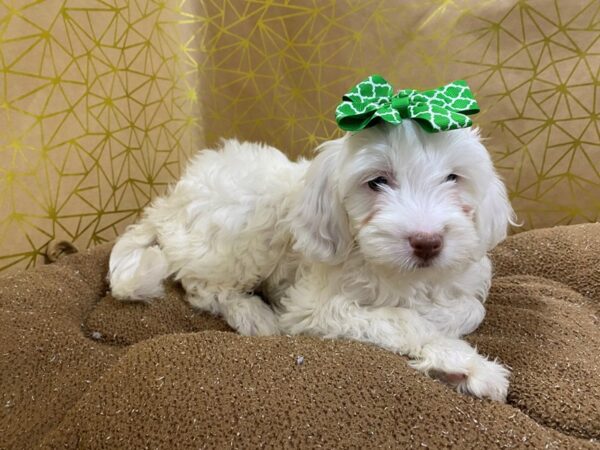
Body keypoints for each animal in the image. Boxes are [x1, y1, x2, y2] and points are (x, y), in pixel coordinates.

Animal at [111, 120, 516, 400]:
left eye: (453, 178)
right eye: (377, 182)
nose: (427, 242)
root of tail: (170, 201)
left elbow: (472, 308)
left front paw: (447, 336)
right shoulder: (316, 308)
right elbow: (401, 320)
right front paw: (463, 363)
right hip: (246, 223)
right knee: (204, 288)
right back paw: (254, 315)